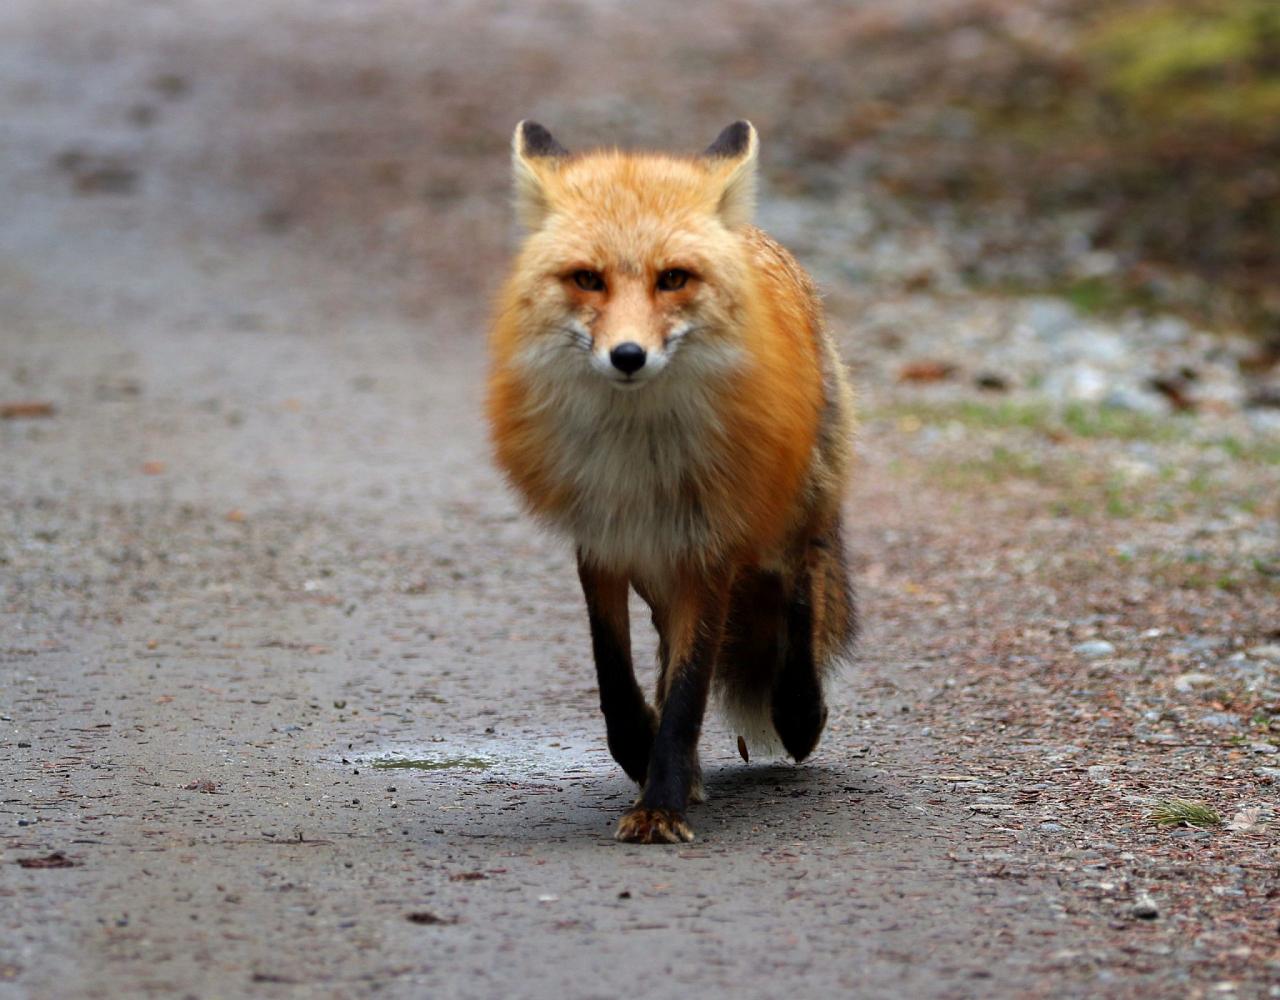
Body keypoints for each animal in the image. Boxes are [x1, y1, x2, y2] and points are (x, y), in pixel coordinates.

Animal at [483, 119, 855, 845]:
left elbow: (687, 692)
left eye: (673, 279)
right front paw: (643, 755)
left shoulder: (707, 547)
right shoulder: (603, 542)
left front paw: (661, 806)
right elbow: (616, 677)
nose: (628, 356)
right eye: (588, 279)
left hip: (789, 518)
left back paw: (799, 712)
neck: (640, 459)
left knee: (800, 591)